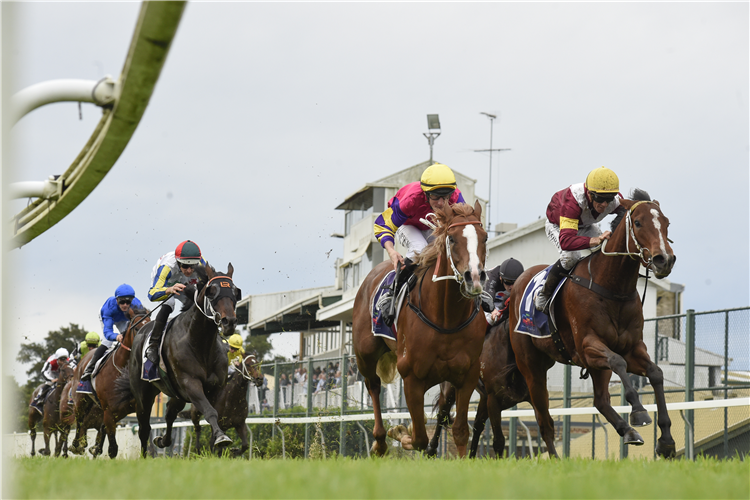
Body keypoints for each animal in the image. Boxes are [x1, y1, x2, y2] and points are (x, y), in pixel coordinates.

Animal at [72, 302, 151, 458]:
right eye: (137, 328)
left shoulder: (137, 408)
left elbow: (144, 433)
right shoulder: (109, 411)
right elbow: (113, 448)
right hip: (82, 399)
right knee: (80, 419)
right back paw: (77, 445)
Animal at [125, 264, 239, 458]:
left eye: (235, 291)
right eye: (212, 291)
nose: (229, 321)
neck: (201, 344)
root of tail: (140, 331)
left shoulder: (216, 388)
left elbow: (215, 413)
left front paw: (217, 444)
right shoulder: (190, 383)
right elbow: (209, 411)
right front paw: (221, 438)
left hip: (177, 394)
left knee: (170, 413)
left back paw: (163, 440)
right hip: (143, 394)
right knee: (144, 428)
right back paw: (145, 456)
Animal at [352, 200, 488, 458]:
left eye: (484, 237)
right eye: (452, 239)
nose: (474, 277)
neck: (446, 318)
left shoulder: (467, 374)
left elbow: (460, 431)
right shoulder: (411, 376)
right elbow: (418, 438)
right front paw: (400, 432)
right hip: (365, 354)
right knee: (373, 385)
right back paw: (380, 441)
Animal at [428, 320, 536, 458]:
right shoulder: (494, 399)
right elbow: (499, 440)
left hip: (484, 398)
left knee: (477, 425)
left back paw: (471, 456)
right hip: (450, 391)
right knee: (442, 415)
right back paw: (431, 450)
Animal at [508, 190, 680, 458]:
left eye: (666, 223)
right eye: (638, 222)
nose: (665, 260)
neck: (612, 287)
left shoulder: (632, 348)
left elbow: (656, 373)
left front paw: (666, 440)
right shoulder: (588, 346)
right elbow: (618, 362)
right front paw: (639, 411)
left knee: (600, 400)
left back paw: (627, 431)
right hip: (531, 367)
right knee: (544, 419)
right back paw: (555, 457)